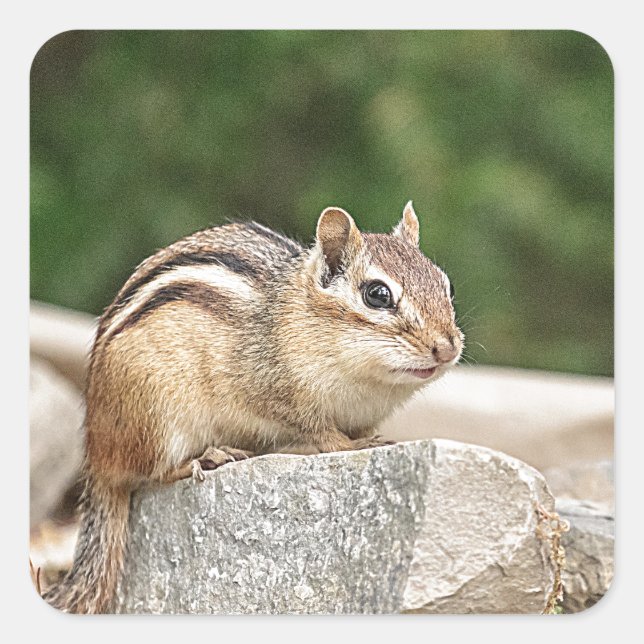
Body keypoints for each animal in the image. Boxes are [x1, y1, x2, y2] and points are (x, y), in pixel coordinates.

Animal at [42, 201, 463, 613]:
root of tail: (97, 455)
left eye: (446, 285)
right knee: (152, 473)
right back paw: (206, 457)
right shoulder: (278, 393)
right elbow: (322, 434)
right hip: (157, 418)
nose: (446, 348)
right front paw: (354, 445)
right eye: (377, 295)